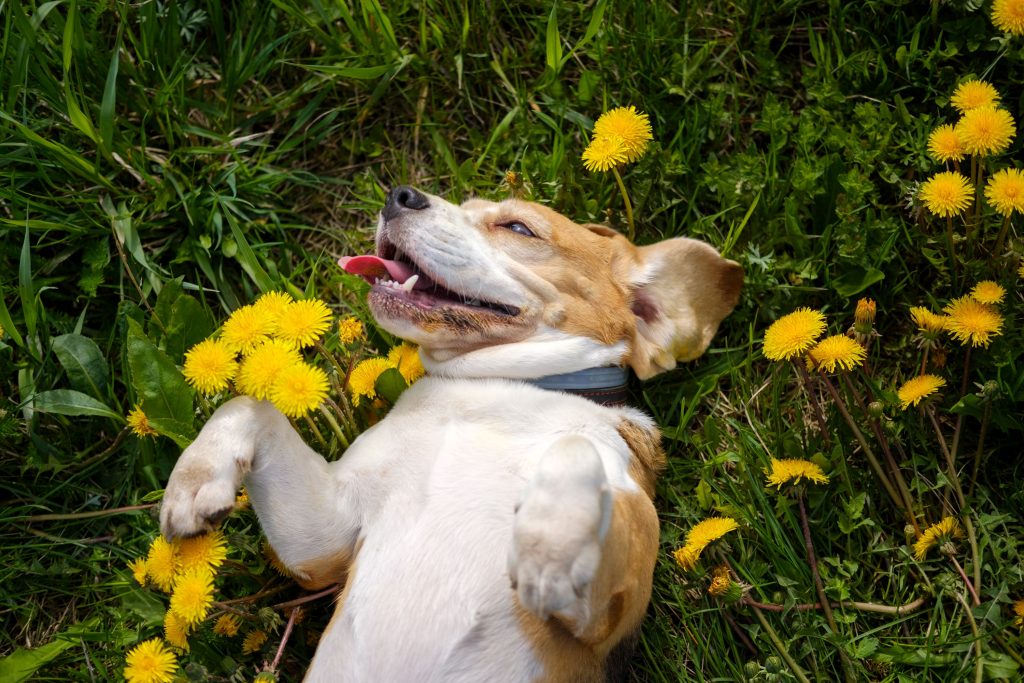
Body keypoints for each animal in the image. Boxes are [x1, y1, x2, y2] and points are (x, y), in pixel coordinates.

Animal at [159, 184, 741, 679]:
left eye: (519, 227)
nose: (399, 195)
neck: (490, 389)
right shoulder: (321, 541)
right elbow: (248, 406)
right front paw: (193, 482)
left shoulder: (605, 619)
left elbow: (573, 445)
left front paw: (547, 546)